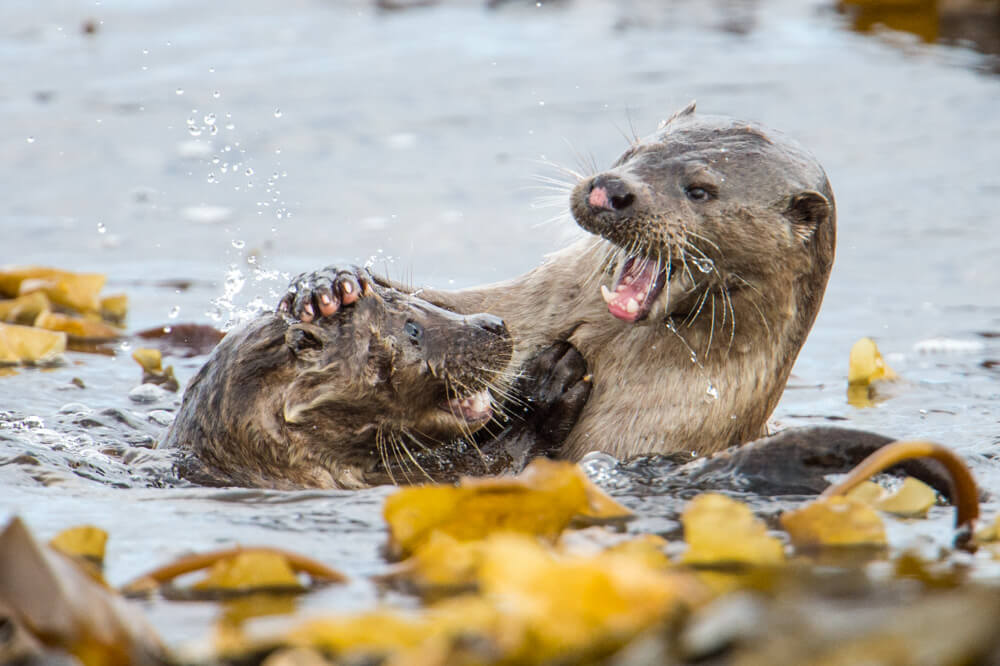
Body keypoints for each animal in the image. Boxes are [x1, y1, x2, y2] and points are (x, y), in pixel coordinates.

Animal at [282, 104, 836, 460]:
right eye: (632, 151)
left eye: (699, 190)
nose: (610, 188)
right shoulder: (514, 304)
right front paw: (328, 285)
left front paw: (550, 387)